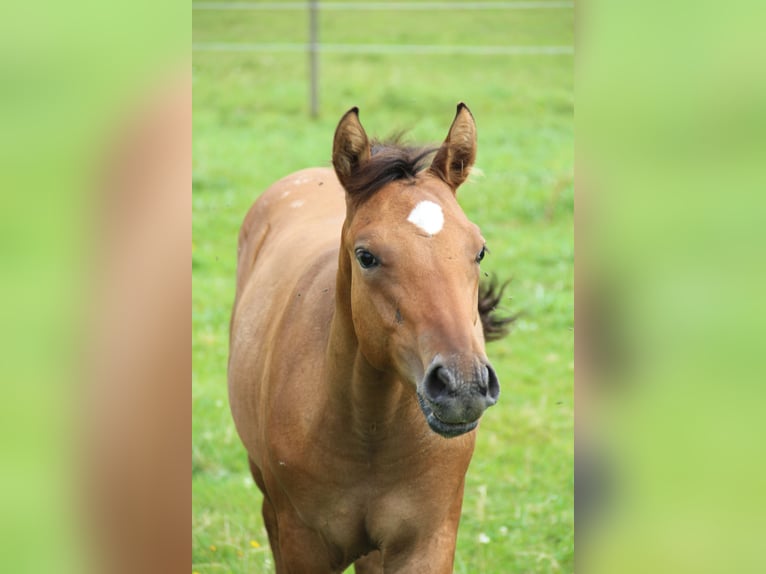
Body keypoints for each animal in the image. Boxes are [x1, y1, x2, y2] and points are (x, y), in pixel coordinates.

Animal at [231, 106, 512, 572]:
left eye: (480, 251)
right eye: (365, 256)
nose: (463, 385)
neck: (369, 430)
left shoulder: (426, 543)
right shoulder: (303, 545)